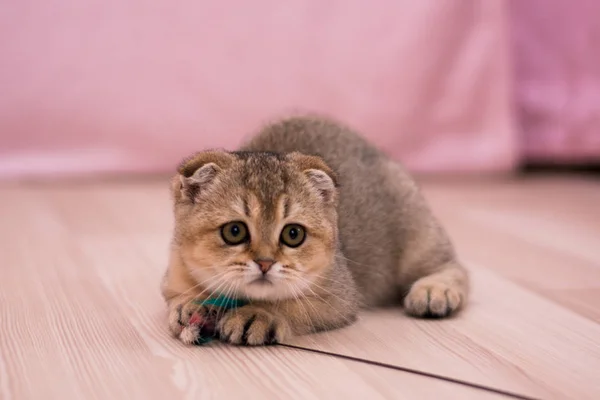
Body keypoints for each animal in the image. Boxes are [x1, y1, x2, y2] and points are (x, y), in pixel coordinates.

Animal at [162, 115, 472, 344]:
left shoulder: (341, 297)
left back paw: (435, 291)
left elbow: (294, 304)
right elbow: (179, 298)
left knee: (453, 266)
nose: (265, 263)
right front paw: (194, 305)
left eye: (293, 234)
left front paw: (259, 314)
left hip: (416, 234)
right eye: (234, 231)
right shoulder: (173, 277)